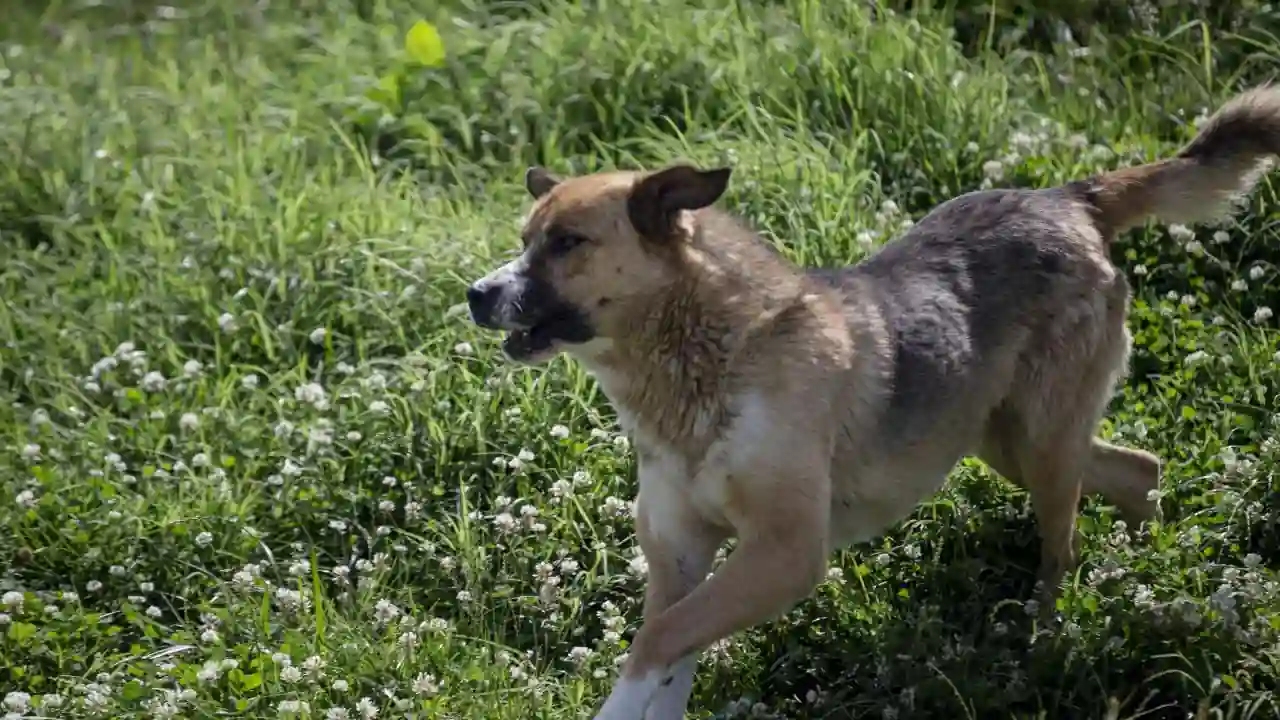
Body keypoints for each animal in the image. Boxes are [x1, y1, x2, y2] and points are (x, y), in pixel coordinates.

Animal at [465, 85, 1280, 717]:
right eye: (525, 238)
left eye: (567, 242)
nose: (475, 294)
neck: (701, 361)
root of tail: (1069, 197)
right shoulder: (680, 556)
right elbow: (667, 656)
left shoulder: (785, 552)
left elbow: (653, 643)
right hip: (1006, 439)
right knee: (1138, 470)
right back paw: (1145, 577)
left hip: (1040, 444)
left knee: (1065, 545)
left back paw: (1053, 634)